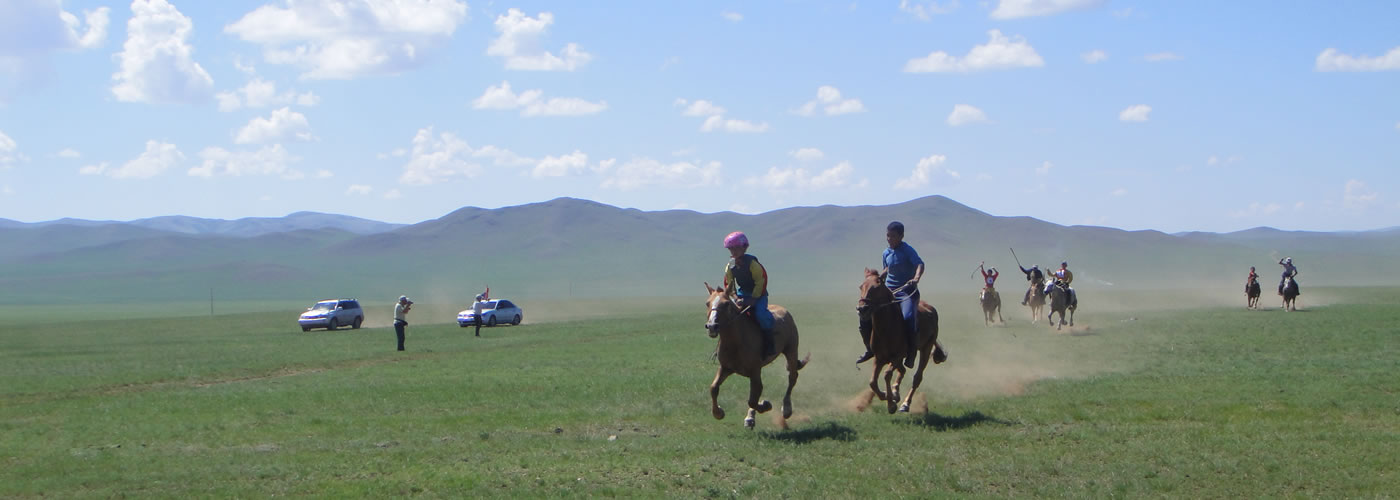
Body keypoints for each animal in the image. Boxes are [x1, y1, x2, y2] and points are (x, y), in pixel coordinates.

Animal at [700, 282, 812, 425]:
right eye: (707, 303)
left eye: (726, 304)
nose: (712, 326)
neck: (735, 342)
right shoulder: (726, 368)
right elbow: (714, 388)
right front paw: (718, 413)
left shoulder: (754, 371)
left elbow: (753, 400)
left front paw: (766, 405)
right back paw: (750, 417)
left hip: (791, 350)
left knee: (792, 377)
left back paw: (786, 408)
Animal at [851, 268, 952, 411]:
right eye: (861, 286)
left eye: (877, 287)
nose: (861, 309)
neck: (886, 328)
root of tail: (929, 308)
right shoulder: (879, 357)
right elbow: (872, 382)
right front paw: (888, 395)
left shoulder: (897, 356)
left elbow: (887, 374)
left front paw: (891, 403)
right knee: (902, 370)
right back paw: (896, 392)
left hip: (926, 349)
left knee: (917, 377)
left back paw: (905, 403)